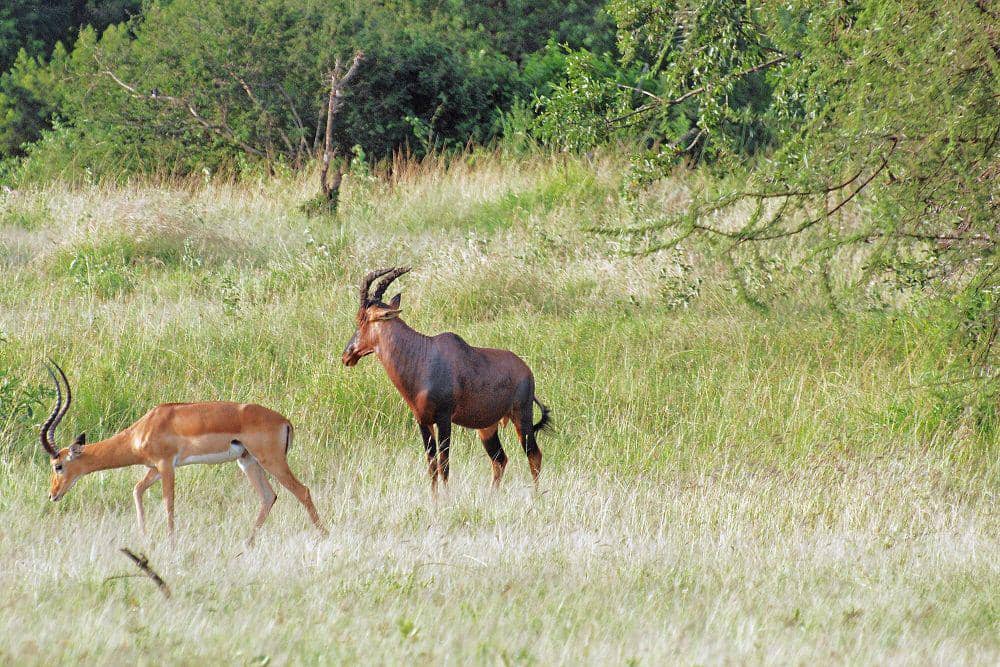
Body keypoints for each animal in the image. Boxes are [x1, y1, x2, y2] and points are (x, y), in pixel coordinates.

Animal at [39, 362, 326, 541]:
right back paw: (247, 544)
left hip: (271, 460)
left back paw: (324, 535)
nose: (52, 494)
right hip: (247, 462)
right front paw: (144, 537)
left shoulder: (166, 466)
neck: (143, 429)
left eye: (58, 465)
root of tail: (284, 420)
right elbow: (137, 490)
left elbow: (169, 503)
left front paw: (171, 543)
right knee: (268, 497)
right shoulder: (153, 469)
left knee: (302, 491)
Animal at [342, 267, 551, 492]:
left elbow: (444, 465)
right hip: (487, 427)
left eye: (362, 318)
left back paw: (536, 495)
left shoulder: (444, 419)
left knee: (534, 455)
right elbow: (432, 466)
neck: (424, 357)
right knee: (500, 460)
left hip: (522, 417)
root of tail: (526, 370)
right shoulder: (423, 421)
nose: (347, 355)